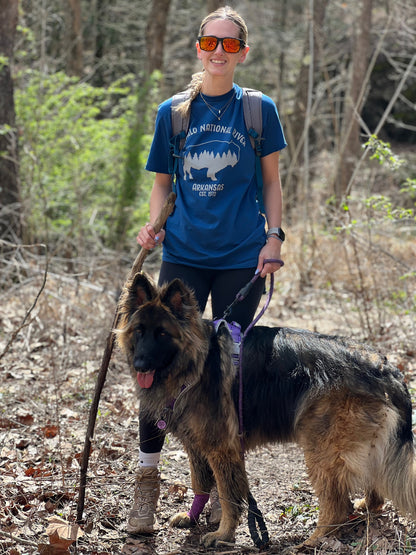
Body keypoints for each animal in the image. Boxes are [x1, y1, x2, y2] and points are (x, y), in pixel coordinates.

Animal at [116, 272, 416, 548]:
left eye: (162, 333)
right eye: (139, 331)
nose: (140, 364)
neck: (197, 360)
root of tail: (385, 366)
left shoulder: (221, 449)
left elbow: (227, 496)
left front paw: (223, 534)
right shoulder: (199, 445)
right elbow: (200, 482)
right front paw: (192, 518)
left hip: (322, 447)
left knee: (337, 504)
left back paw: (312, 541)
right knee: (371, 489)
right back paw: (364, 507)